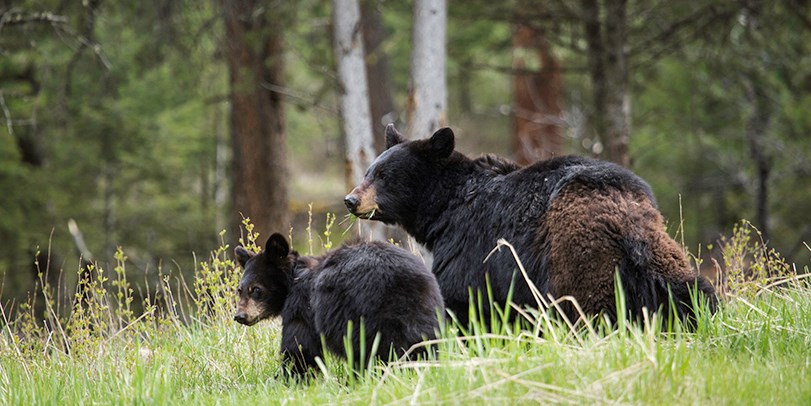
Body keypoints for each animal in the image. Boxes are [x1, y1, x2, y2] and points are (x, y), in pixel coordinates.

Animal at [235, 235, 444, 378]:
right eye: (240, 289)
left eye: (256, 289)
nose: (240, 316)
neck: (294, 278)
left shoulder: (303, 306)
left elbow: (300, 346)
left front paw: (288, 378)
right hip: (427, 313)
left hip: (363, 316)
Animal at [342, 125, 716, 328]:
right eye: (369, 171)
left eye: (385, 175)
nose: (351, 200)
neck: (446, 208)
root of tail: (626, 219)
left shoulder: (470, 245)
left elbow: (462, 298)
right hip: (661, 256)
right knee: (690, 291)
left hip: (578, 257)